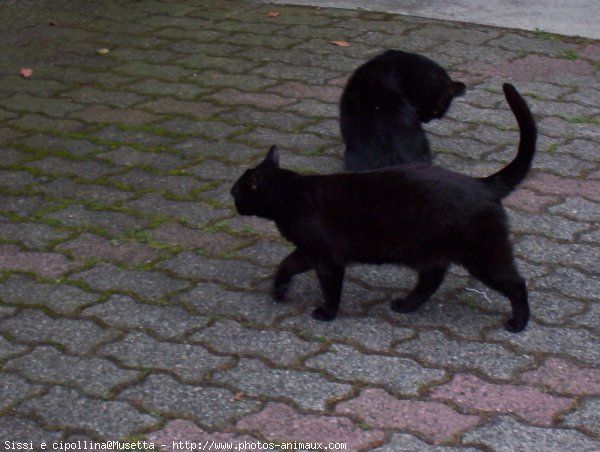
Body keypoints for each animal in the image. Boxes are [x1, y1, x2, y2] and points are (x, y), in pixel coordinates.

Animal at [232, 85, 536, 332]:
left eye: (237, 191)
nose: (231, 197)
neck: (292, 193)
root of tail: (481, 183)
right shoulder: (309, 251)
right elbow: (286, 264)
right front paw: (279, 291)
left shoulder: (327, 258)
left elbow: (331, 290)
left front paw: (327, 314)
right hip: (432, 252)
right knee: (431, 280)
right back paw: (405, 305)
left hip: (483, 254)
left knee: (516, 284)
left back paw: (518, 323)